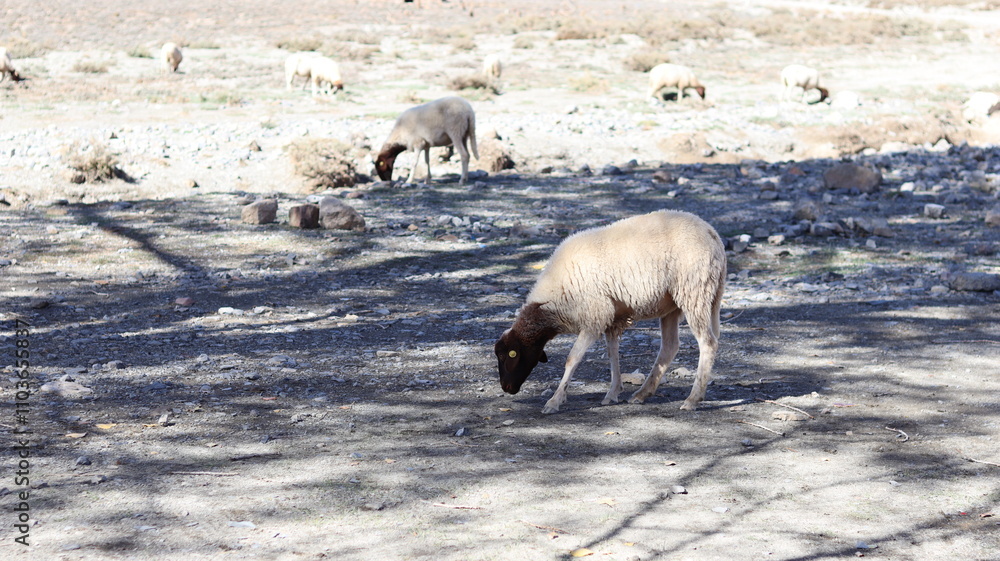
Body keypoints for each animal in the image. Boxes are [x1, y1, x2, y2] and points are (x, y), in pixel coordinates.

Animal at [494, 209, 727, 414]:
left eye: (508, 355)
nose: (506, 388)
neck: (552, 302)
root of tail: (713, 235)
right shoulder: (612, 317)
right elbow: (612, 353)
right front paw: (613, 392)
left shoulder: (595, 315)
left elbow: (572, 359)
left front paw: (555, 401)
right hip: (674, 303)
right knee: (670, 347)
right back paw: (642, 394)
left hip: (694, 292)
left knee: (708, 343)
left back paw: (693, 399)